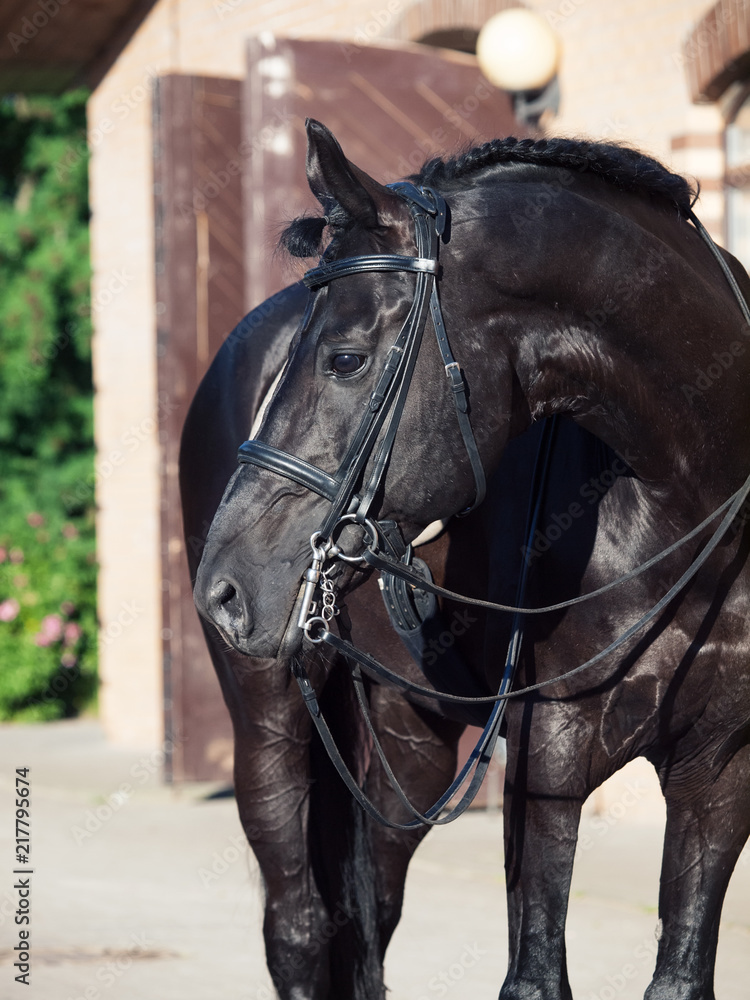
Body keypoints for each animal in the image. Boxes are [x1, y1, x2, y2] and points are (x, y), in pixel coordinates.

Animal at [192, 119, 750, 1000]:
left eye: (345, 358)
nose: (226, 590)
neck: (696, 502)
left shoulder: (721, 768)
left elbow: (682, 973)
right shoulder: (546, 749)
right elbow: (534, 975)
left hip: (407, 739)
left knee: (369, 916)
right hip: (269, 720)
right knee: (298, 927)